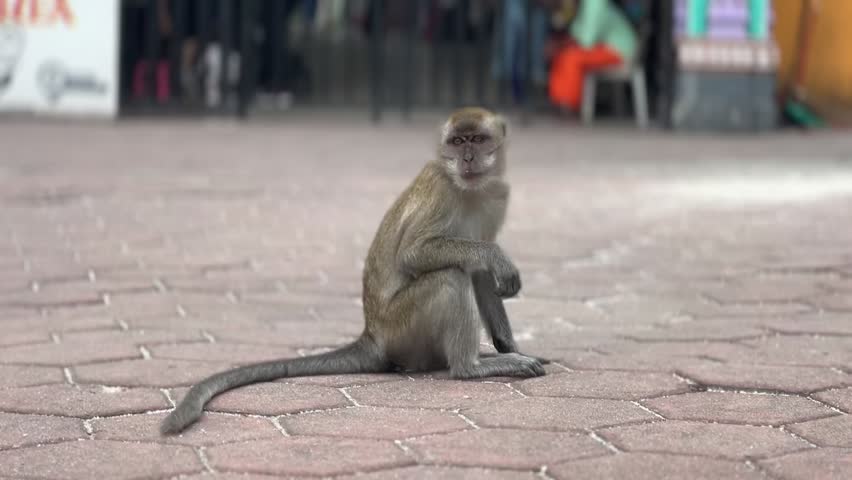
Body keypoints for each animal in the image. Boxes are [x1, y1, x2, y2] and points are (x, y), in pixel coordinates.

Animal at [161, 107, 546, 435]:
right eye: (457, 142)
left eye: (477, 139)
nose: (467, 158)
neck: (470, 189)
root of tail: (372, 336)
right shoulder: (441, 188)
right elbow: (413, 255)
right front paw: (497, 259)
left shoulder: (497, 197)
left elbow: (481, 275)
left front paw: (508, 345)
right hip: (401, 329)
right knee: (449, 276)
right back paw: (470, 367)